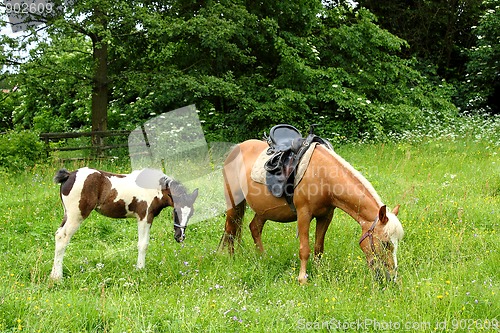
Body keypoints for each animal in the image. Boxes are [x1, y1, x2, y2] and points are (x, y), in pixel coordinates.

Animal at [49, 167, 198, 278]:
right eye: (175, 212)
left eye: (191, 213)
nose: (180, 237)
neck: (154, 188)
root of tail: (69, 175)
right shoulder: (144, 217)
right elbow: (143, 244)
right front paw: (140, 269)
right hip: (76, 216)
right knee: (62, 237)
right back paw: (57, 277)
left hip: (68, 215)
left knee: (58, 235)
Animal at [219, 139, 402, 284]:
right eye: (385, 243)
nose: (391, 278)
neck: (323, 176)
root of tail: (235, 149)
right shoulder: (304, 215)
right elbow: (304, 249)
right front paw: (302, 280)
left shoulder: (326, 216)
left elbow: (318, 248)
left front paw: (319, 274)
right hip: (233, 203)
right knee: (230, 230)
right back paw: (231, 260)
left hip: (263, 210)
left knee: (254, 227)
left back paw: (263, 258)